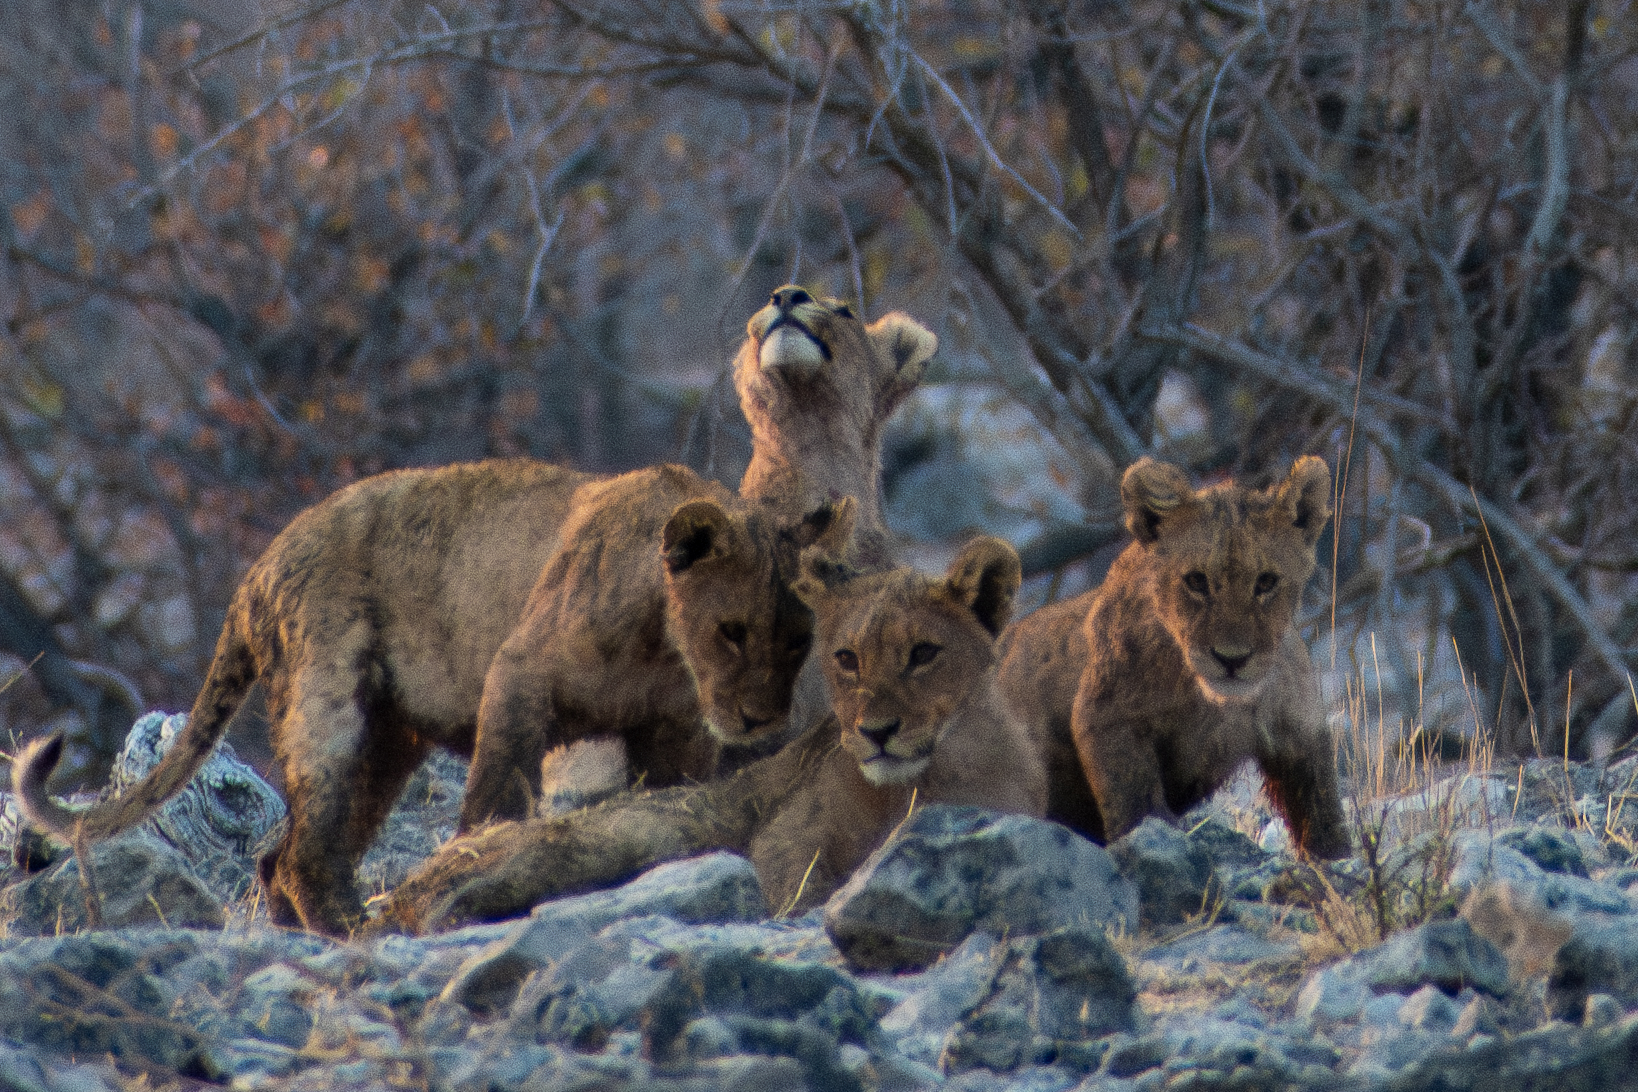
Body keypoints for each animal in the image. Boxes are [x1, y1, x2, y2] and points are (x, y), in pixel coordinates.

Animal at [15, 464, 850, 936]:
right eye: (733, 632)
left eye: (797, 640)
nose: (763, 718)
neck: (663, 644)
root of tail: (260, 564)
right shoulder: (518, 675)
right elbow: (497, 794)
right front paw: (475, 866)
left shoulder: (671, 732)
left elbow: (664, 803)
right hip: (328, 697)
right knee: (304, 850)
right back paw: (354, 929)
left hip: (388, 742)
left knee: (281, 854)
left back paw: (308, 931)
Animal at [368, 535, 1045, 934]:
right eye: (847, 659)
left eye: (924, 654)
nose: (876, 732)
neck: (930, 775)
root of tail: (410, 881)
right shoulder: (784, 842)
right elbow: (792, 889)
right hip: (649, 828)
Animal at [1064, 456, 1350, 857]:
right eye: (1196, 581)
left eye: (1266, 582)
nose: (1232, 659)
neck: (1215, 703)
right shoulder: (1105, 718)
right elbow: (1138, 804)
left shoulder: (1300, 726)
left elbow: (1323, 815)